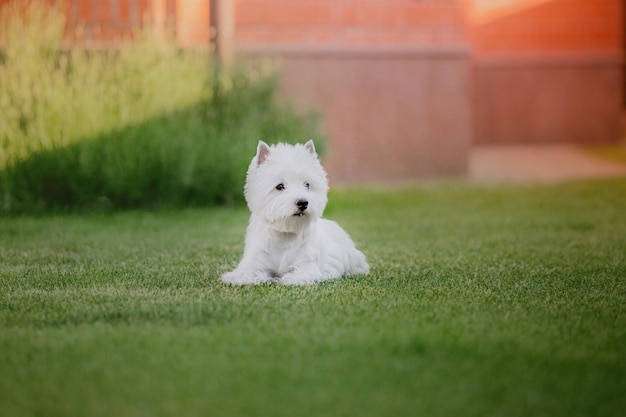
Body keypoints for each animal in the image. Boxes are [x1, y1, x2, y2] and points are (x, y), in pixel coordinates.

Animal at [221, 141, 368, 284]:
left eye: (307, 184)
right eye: (280, 186)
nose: (303, 203)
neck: (284, 235)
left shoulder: (306, 266)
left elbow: (297, 275)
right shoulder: (253, 264)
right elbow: (248, 274)